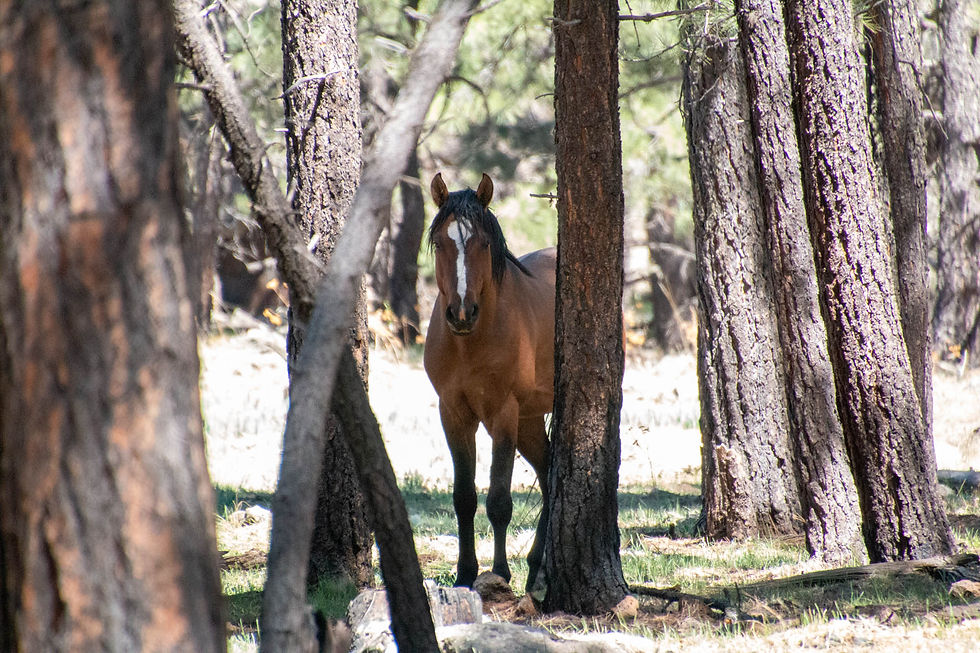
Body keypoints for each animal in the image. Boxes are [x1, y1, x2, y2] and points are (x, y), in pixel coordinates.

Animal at [423, 173, 555, 593]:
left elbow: (498, 501)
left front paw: (498, 574)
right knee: (550, 474)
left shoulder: (503, 413)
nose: (461, 312)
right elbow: (464, 497)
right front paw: (466, 574)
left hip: (525, 418)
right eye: (440, 242)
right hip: (530, 421)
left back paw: (533, 570)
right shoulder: (453, 413)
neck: (470, 341)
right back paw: (536, 567)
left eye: (483, 242)